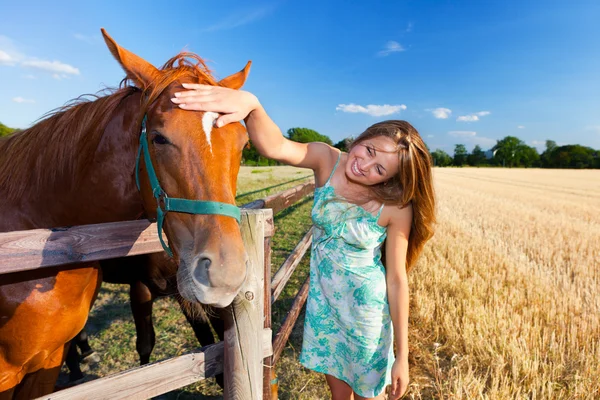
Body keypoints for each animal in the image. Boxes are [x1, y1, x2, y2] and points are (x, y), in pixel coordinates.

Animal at [0, 29, 250, 398]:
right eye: (158, 138)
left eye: (243, 143)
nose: (225, 272)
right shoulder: (143, 288)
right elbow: (149, 348)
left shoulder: (46, 362)